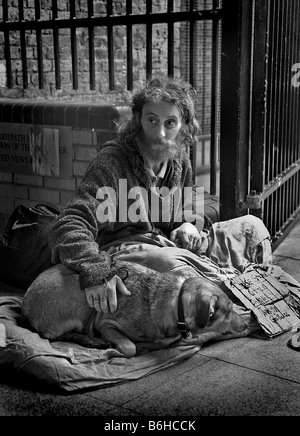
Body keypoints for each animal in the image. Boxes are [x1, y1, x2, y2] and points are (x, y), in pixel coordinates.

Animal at [22, 260, 250, 356]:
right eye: (229, 310)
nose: (247, 324)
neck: (176, 303)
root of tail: (25, 305)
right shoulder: (106, 323)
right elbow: (130, 347)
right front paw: (136, 347)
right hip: (87, 298)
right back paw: (97, 342)